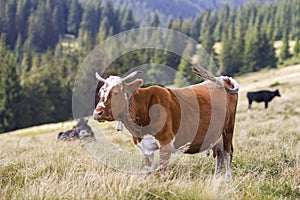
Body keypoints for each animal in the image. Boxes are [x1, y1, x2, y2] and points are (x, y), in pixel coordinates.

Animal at [94, 65, 239, 178]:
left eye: (116, 93)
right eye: (100, 93)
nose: (97, 113)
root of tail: (223, 79)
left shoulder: (165, 142)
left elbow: (163, 172)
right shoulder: (146, 148)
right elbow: (150, 173)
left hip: (228, 130)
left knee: (227, 153)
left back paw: (227, 179)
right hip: (217, 135)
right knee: (220, 155)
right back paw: (216, 179)